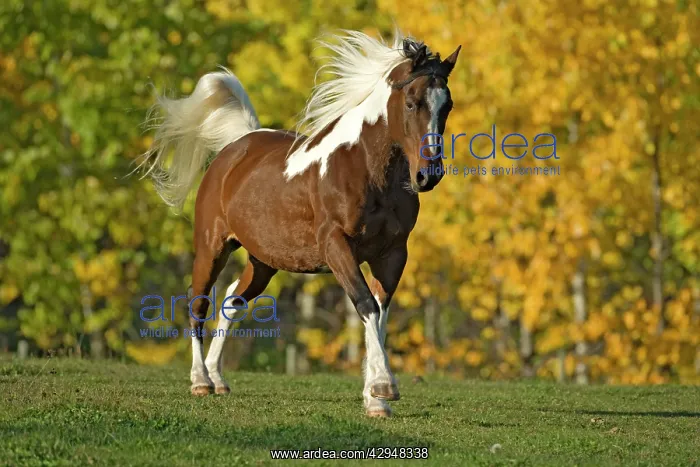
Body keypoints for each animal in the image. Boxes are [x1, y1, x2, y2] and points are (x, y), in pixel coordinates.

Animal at [140, 30, 460, 417]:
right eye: (412, 103)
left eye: (447, 105)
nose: (429, 176)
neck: (364, 168)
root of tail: (237, 144)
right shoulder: (336, 245)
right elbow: (365, 304)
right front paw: (385, 387)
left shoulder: (394, 254)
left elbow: (380, 315)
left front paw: (375, 399)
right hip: (211, 246)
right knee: (197, 300)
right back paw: (200, 381)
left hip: (263, 261)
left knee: (232, 299)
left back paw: (218, 378)